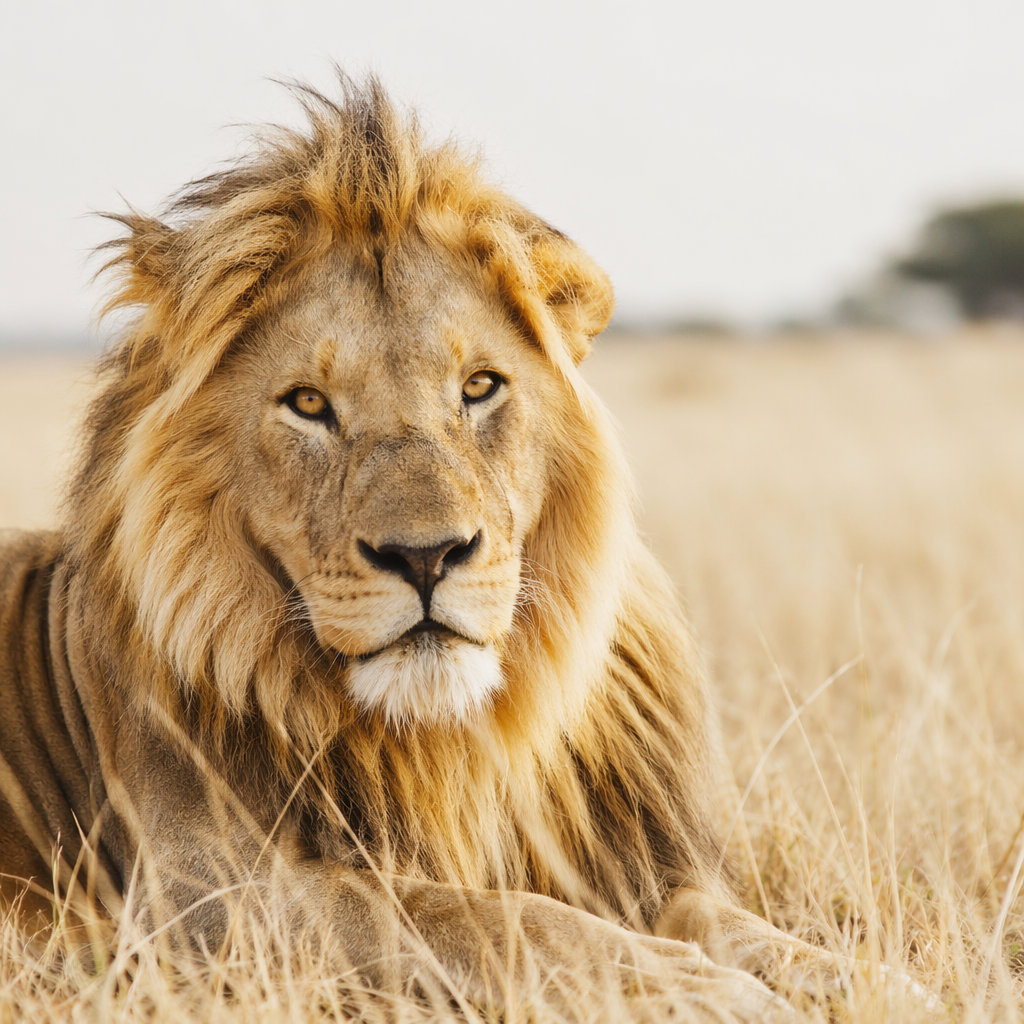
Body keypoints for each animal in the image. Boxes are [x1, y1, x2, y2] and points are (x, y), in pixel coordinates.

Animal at [0, 76, 891, 1019]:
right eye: (308, 404)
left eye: (479, 387)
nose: (425, 557)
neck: (450, 748)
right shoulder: (197, 899)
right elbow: (477, 917)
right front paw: (691, 988)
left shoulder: (638, 861)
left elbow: (739, 926)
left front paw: (862, 978)